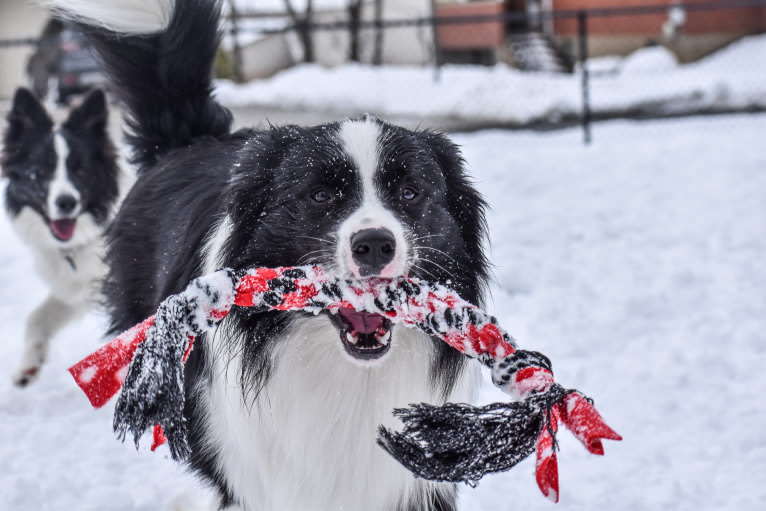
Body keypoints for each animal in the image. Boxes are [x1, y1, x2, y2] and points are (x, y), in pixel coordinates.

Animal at [1, 88, 123, 386]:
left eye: (81, 170)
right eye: (38, 173)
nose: (66, 202)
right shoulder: (78, 289)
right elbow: (37, 317)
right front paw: (28, 365)